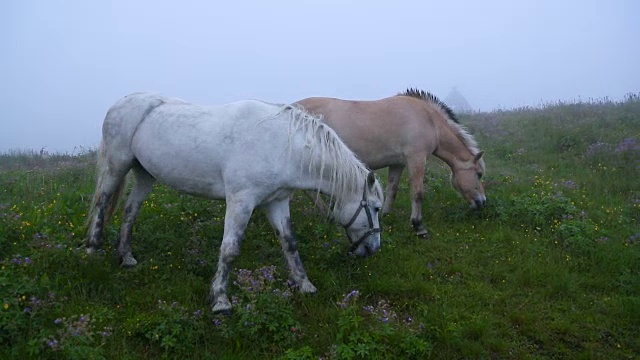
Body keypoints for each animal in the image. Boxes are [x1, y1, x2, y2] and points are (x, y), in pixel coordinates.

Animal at [85, 93, 384, 316]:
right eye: (376, 208)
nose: (373, 249)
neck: (282, 145)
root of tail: (121, 103)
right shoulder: (241, 201)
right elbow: (229, 250)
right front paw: (221, 301)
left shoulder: (276, 202)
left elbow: (289, 243)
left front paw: (305, 285)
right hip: (117, 165)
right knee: (101, 203)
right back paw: (91, 250)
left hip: (144, 174)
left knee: (130, 211)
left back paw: (126, 256)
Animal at [298, 88, 488, 236]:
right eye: (479, 174)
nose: (482, 202)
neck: (429, 120)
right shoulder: (416, 159)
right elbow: (418, 193)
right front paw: (418, 225)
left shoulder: (398, 164)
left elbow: (392, 189)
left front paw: (385, 214)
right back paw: (329, 215)